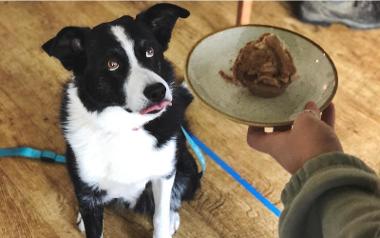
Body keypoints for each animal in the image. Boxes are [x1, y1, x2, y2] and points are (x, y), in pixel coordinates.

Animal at [41, 3, 200, 238]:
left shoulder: (163, 174)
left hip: (186, 168)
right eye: (112, 64)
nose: (158, 91)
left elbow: (159, 216)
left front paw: (165, 221)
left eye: (150, 51)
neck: (125, 127)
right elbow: (94, 225)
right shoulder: (87, 190)